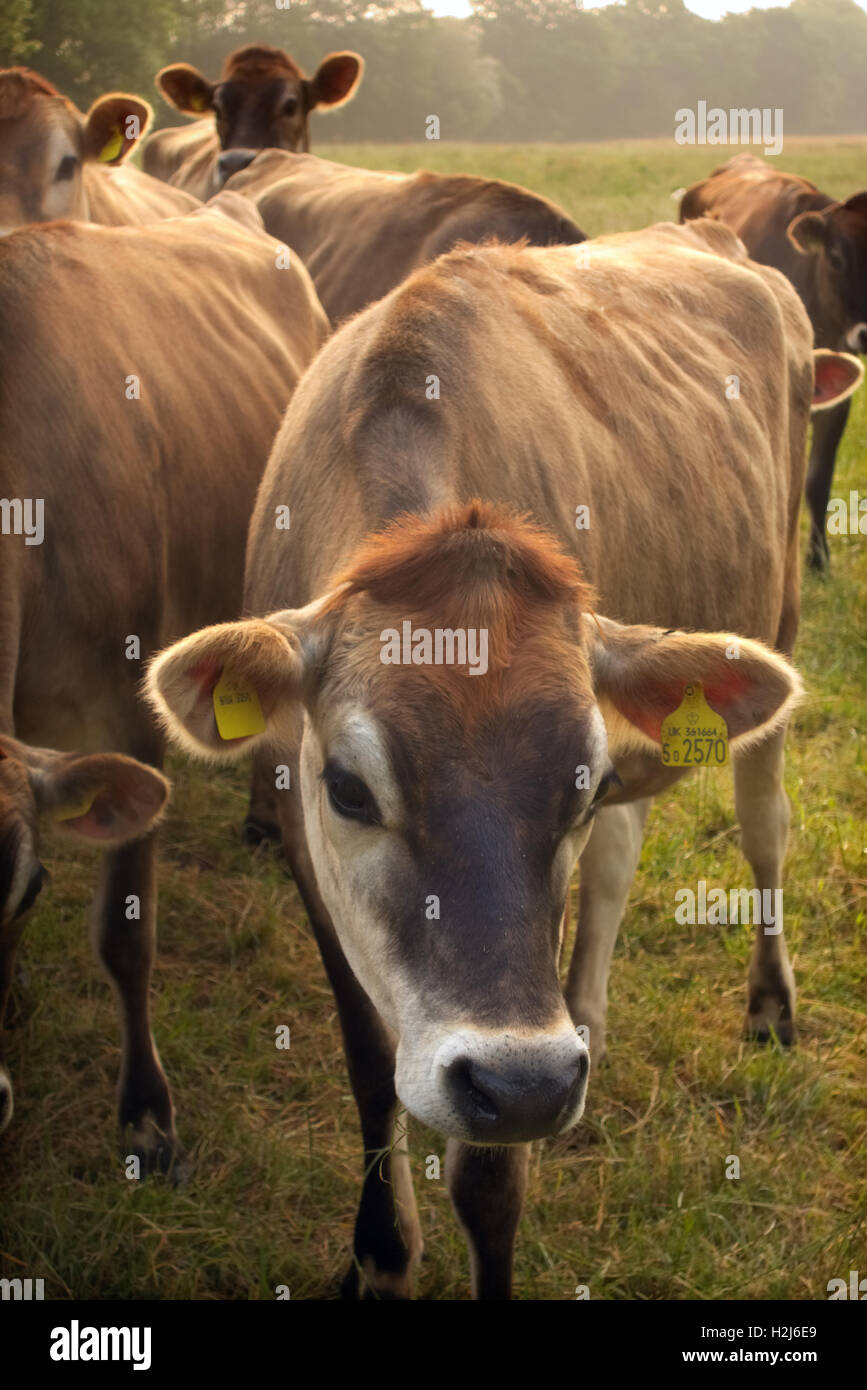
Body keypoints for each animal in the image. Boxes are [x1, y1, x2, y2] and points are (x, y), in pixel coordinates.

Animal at [146, 218, 862, 1297]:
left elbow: (488, 1178)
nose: (534, 1083)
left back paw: (768, 1004)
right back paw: (590, 1022)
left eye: (576, 785)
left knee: (763, 829)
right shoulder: (312, 860)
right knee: (615, 867)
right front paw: (379, 1251)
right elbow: (370, 1061)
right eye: (347, 788)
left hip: (775, 621)